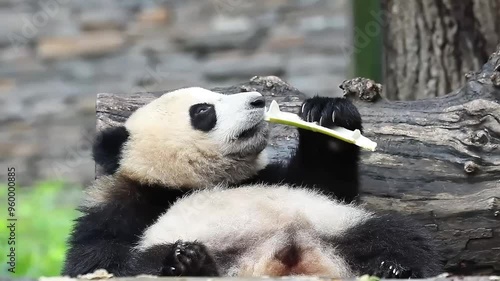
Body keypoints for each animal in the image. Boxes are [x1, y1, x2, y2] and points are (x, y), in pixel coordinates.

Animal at [61, 86, 442, 276]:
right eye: (203, 110)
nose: (258, 100)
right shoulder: (126, 205)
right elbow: (99, 261)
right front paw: (181, 259)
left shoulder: (277, 178)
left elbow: (329, 183)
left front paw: (329, 115)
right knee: (147, 261)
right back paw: (189, 263)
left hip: (334, 227)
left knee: (394, 234)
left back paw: (391, 267)